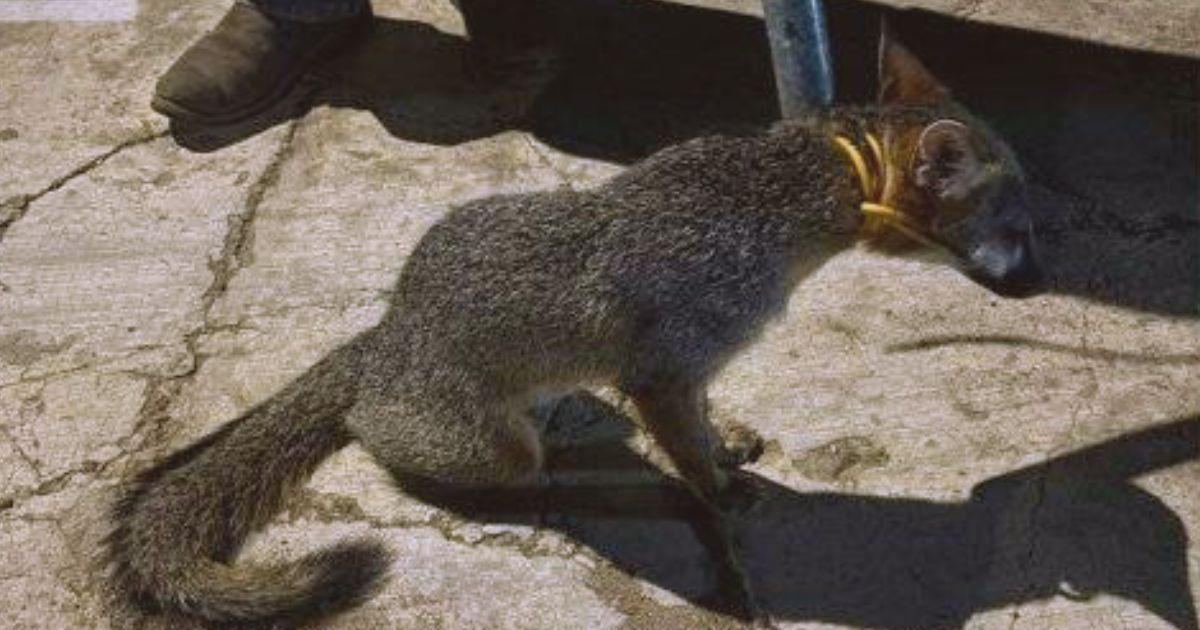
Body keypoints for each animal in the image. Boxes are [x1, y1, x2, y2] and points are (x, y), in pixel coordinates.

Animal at [106, 25, 1044, 628]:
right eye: (1019, 227)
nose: (1038, 285)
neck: (778, 195)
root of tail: (391, 326)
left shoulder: (679, 373)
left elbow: (700, 422)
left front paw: (724, 444)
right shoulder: (662, 371)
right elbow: (689, 456)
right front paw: (717, 492)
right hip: (496, 447)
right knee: (469, 456)